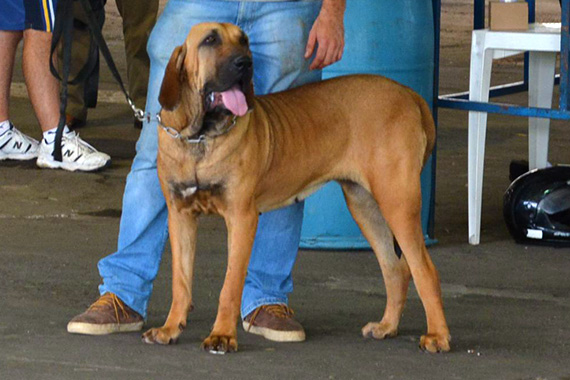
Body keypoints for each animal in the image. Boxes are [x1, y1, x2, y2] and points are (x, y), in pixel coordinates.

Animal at [141, 22, 448, 354]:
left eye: (244, 41)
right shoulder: (180, 216)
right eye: (210, 40)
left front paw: (222, 335)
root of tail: (410, 94)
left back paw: (438, 335)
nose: (245, 63)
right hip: (365, 205)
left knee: (425, 270)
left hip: (397, 201)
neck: (201, 137)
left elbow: (230, 285)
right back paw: (387, 326)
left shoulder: (241, 218)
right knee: (395, 269)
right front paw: (170, 328)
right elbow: (181, 282)